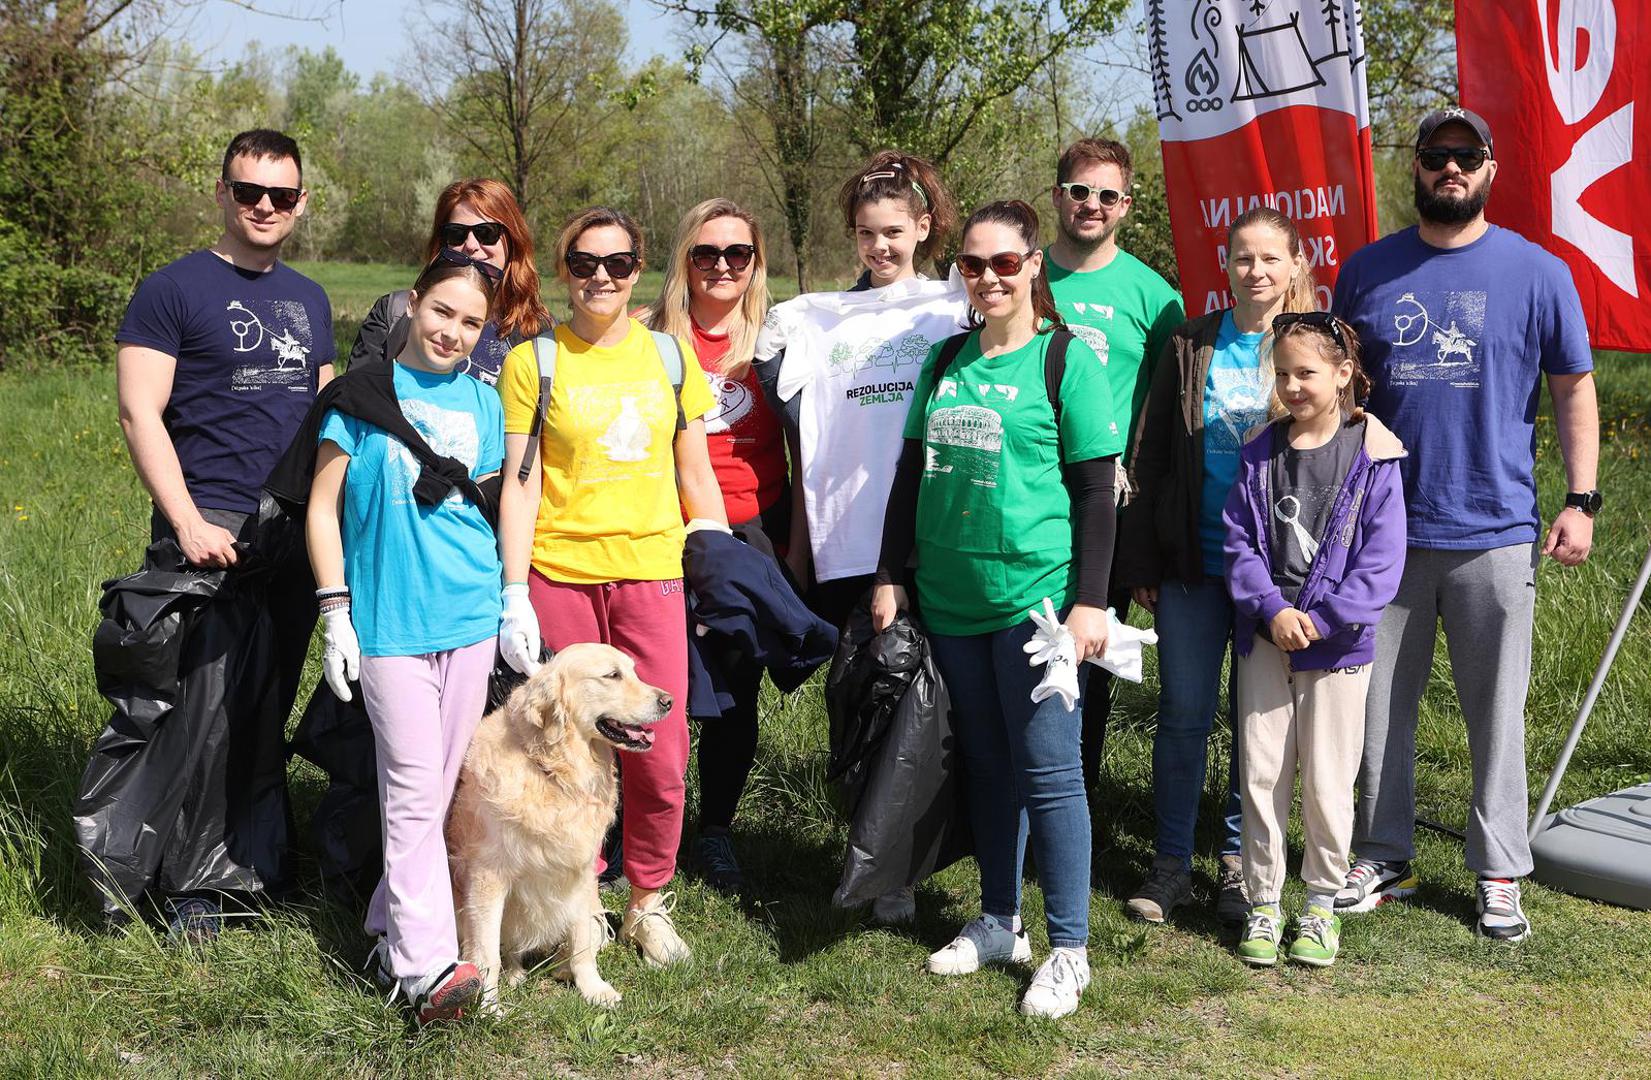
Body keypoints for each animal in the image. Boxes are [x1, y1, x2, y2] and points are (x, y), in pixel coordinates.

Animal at [449, 644, 667, 1004]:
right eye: (612, 675)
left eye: (634, 671)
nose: (669, 701)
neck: (555, 772)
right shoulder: (487, 876)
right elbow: (486, 952)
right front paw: (489, 1007)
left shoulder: (581, 869)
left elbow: (581, 941)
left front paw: (593, 988)